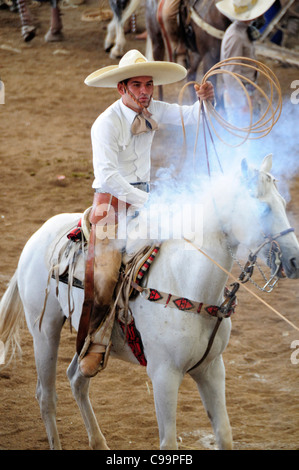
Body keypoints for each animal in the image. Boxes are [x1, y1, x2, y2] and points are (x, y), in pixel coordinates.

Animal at [0, 154, 299, 448]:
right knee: (46, 397)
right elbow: (169, 442)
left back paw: (99, 442)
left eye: (283, 203)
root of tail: (38, 235)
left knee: (76, 378)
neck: (186, 282)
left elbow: (224, 434)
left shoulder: (212, 369)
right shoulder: (164, 375)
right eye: (263, 209)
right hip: (44, 331)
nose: (294, 260)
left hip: (84, 337)